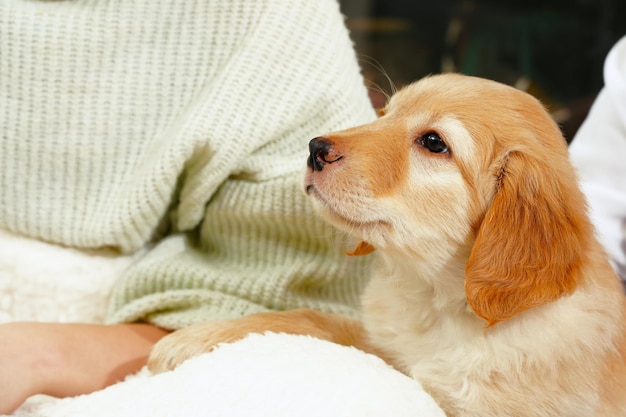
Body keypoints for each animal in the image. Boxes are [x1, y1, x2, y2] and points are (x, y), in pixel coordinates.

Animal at [147, 73, 624, 414]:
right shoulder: (383, 347)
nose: (315, 148)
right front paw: (199, 337)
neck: (438, 302)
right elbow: (311, 319)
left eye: (434, 142)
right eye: (385, 113)